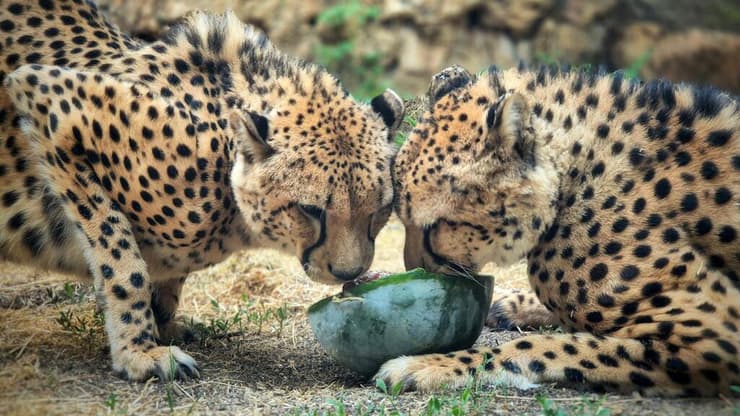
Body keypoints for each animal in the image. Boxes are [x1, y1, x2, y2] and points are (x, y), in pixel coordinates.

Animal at [0, 0, 404, 382]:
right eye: (310, 209)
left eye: (379, 210)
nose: (348, 271)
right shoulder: (49, 100)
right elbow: (124, 262)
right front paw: (139, 352)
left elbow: (166, 278)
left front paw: (163, 325)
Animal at [382, 65, 740, 396]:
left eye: (434, 225)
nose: (414, 270)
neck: (571, 176)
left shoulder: (716, 334)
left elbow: (547, 347)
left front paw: (430, 365)